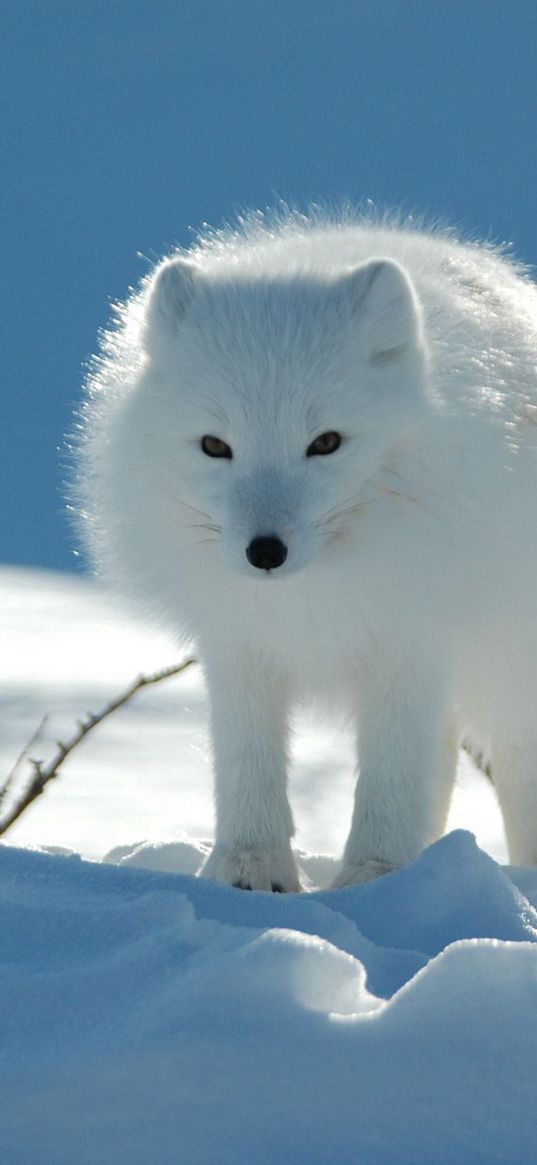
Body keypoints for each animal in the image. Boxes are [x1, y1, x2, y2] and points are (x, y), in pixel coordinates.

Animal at [75, 209, 537, 885]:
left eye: (325, 442)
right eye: (214, 446)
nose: (265, 552)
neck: (314, 595)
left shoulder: (411, 640)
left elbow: (390, 778)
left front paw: (374, 878)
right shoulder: (238, 643)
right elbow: (247, 762)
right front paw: (248, 872)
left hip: (506, 670)